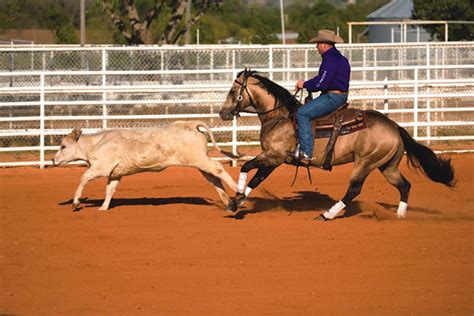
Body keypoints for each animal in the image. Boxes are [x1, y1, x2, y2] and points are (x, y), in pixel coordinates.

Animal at [53, 121, 239, 212]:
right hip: (198, 161)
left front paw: (75, 203)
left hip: (198, 159)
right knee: (213, 178)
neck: (95, 144)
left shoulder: (101, 168)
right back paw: (229, 203)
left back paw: (238, 192)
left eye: (63, 146)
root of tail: (190, 125)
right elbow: (110, 190)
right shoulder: (115, 174)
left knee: (218, 168)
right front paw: (103, 208)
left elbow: (83, 178)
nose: (53, 160)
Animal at [218, 70, 456, 221]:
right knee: (404, 186)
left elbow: (246, 167)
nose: (222, 113)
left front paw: (237, 197)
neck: (280, 117)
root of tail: (395, 127)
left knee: (353, 190)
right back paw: (399, 216)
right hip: (387, 166)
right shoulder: (274, 159)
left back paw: (326, 214)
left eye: (232, 91)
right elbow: (256, 178)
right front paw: (237, 201)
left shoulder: (273, 156)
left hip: (365, 163)